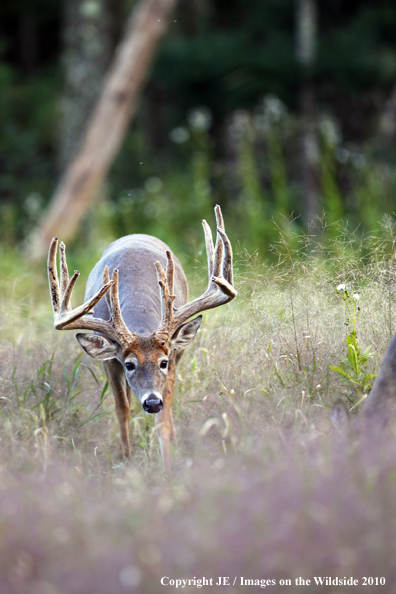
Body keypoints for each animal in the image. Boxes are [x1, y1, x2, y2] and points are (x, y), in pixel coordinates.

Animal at [48, 205, 237, 472]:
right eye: (130, 364)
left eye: (163, 362)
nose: (152, 402)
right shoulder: (110, 361)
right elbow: (122, 411)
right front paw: (126, 461)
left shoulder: (173, 357)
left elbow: (163, 420)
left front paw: (168, 468)